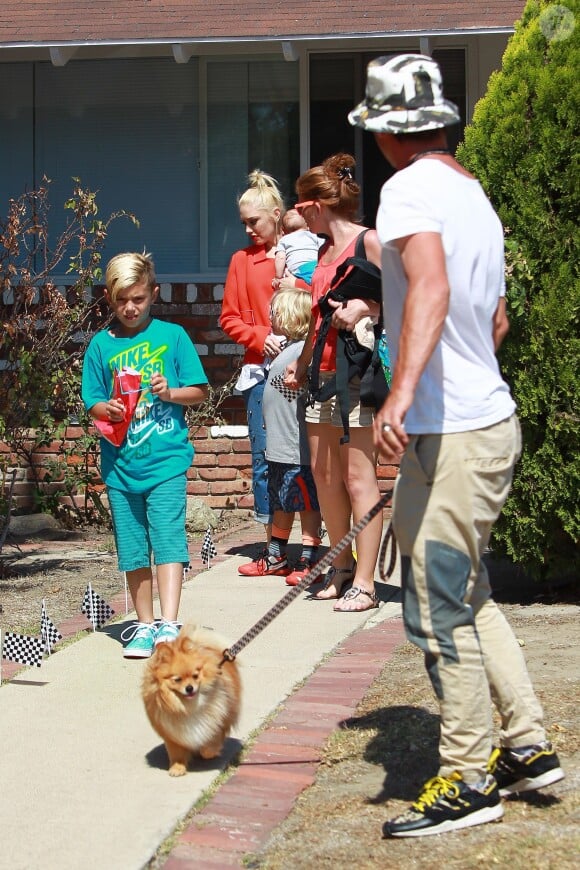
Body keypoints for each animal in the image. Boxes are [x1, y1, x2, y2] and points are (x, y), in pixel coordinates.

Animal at [143, 628, 242, 776]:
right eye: (177, 679)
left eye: (195, 676)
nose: (189, 688)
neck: (189, 707)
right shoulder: (172, 733)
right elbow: (176, 752)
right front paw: (177, 767)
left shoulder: (217, 721)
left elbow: (212, 741)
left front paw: (209, 752)